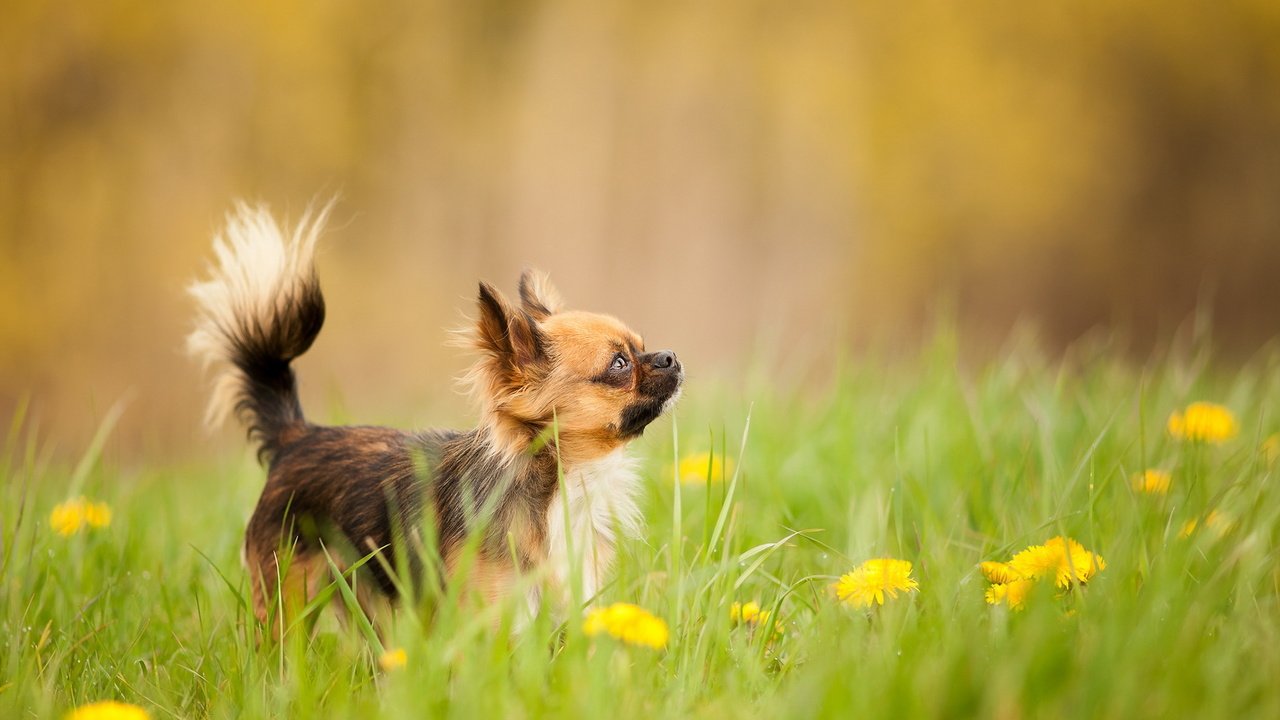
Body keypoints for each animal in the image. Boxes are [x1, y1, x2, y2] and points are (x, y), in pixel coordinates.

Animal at [186, 204, 680, 630]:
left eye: (642, 345)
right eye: (620, 364)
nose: (671, 356)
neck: (564, 480)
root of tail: (298, 436)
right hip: (288, 600)